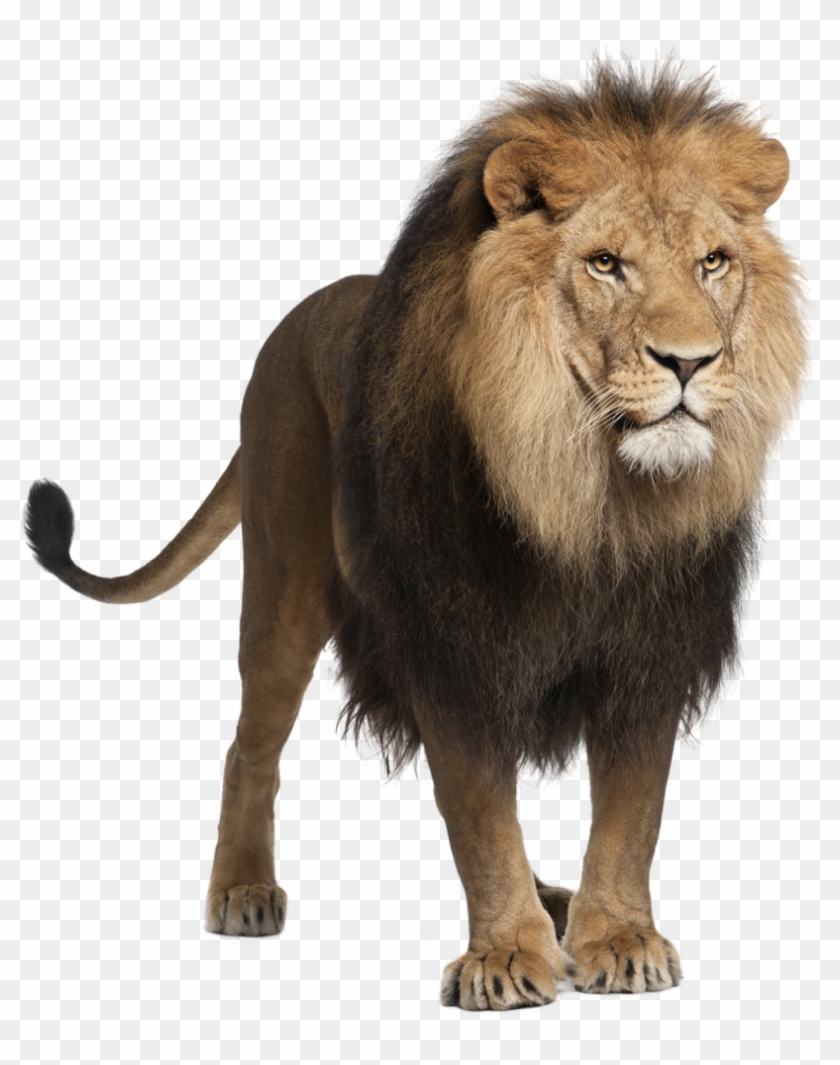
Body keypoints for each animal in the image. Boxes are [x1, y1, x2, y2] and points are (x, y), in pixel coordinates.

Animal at [24, 63, 806, 1010]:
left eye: (712, 261)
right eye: (606, 264)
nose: (690, 362)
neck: (587, 494)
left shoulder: (648, 652)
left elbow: (631, 812)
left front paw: (617, 936)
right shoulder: (450, 643)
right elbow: (478, 812)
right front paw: (505, 956)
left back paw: (558, 902)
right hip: (284, 586)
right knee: (249, 745)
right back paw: (243, 888)